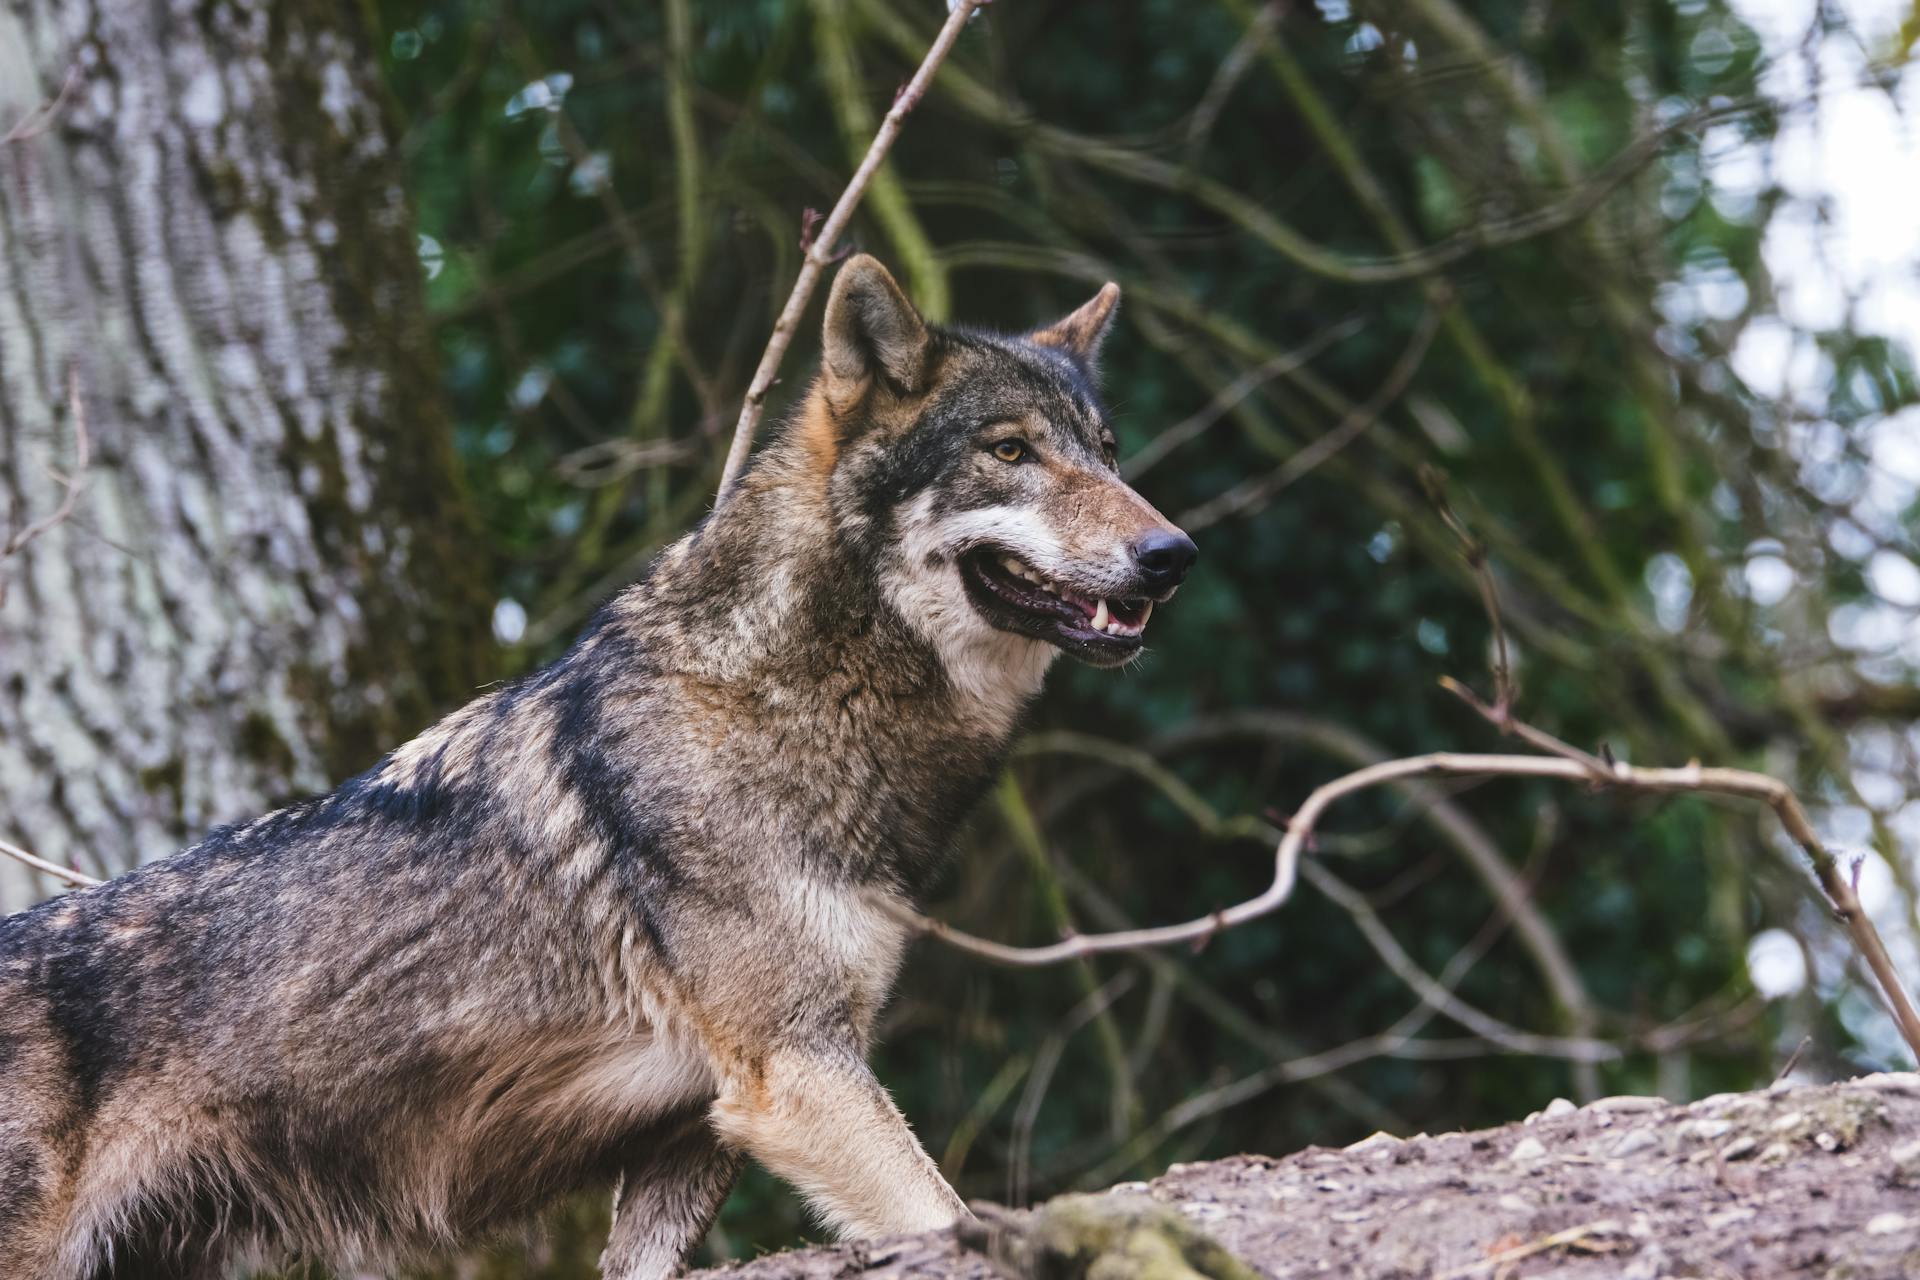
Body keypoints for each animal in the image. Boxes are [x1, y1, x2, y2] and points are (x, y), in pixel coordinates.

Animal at [0, 257, 1190, 1280]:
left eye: (1108, 450)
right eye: (1009, 450)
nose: (1171, 554)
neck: (792, 697)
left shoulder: (695, 1133)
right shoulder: (797, 1073)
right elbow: (941, 1211)